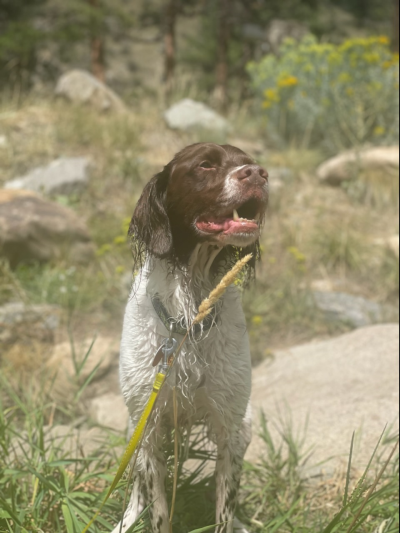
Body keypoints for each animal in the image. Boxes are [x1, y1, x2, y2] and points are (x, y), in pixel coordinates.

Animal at [113, 143, 269, 533]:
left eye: (247, 160)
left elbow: (224, 508)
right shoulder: (149, 429)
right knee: (136, 486)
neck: (187, 325)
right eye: (205, 164)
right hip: (134, 426)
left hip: (245, 426)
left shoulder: (230, 427)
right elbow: (156, 509)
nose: (259, 174)